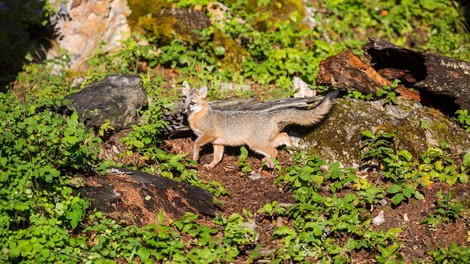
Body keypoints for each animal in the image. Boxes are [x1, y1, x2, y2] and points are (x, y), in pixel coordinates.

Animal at [180, 81, 338, 169]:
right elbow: (217, 158)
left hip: (255, 144)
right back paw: (292, 153)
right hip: (267, 140)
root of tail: (268, 114)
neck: (200, 116)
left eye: (192, 103)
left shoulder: (209, 134)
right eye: (183, 100)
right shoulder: (218, 143)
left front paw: (195, 157)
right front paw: (211, 166)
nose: (182, 110)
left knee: (274, 151)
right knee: (284, 136)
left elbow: (196, 142)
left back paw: (270, 163)